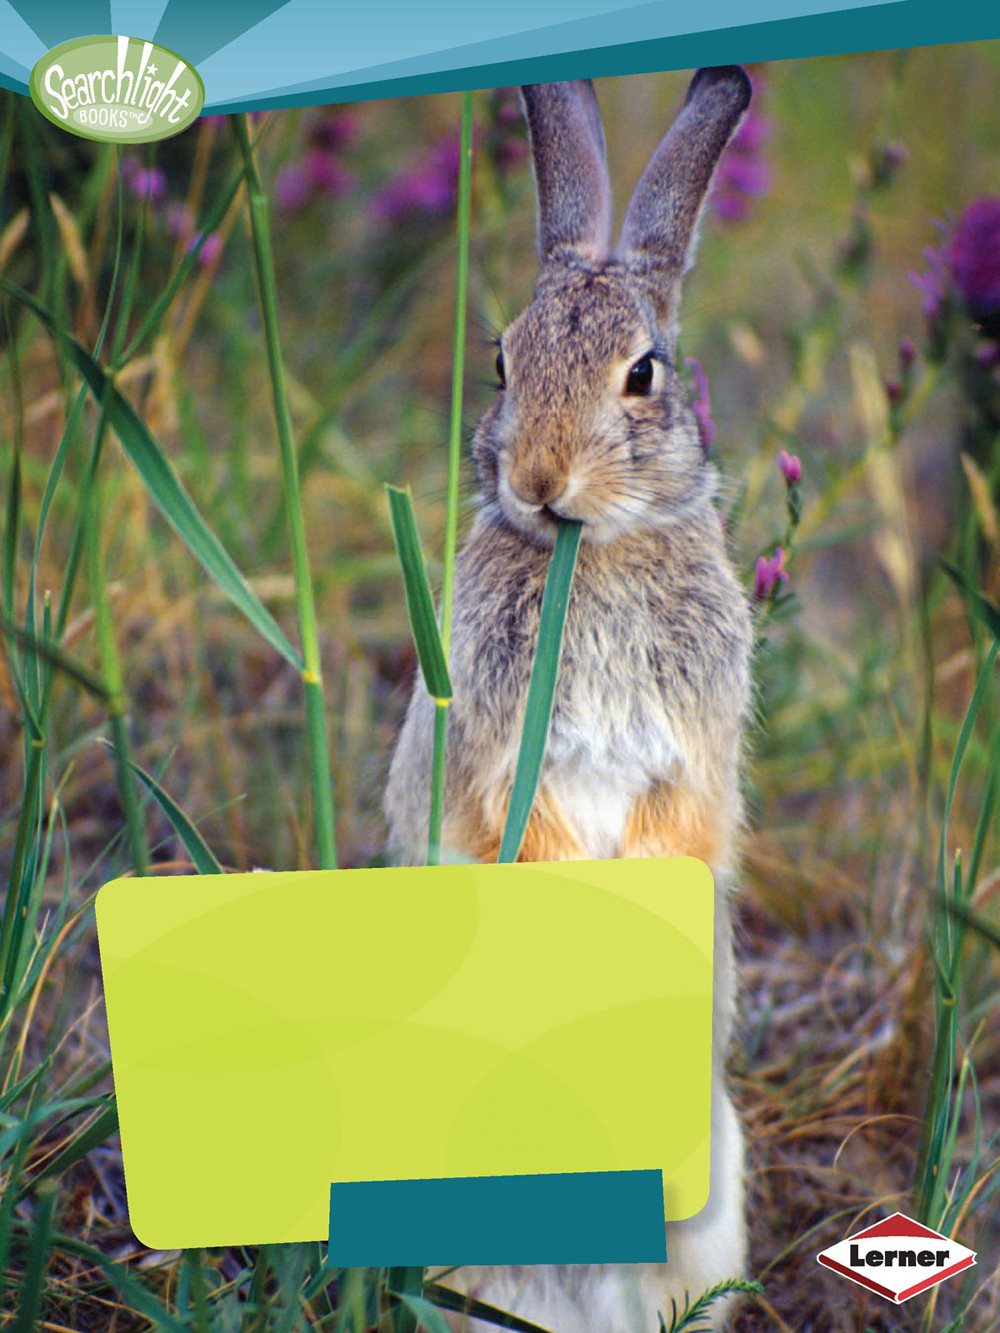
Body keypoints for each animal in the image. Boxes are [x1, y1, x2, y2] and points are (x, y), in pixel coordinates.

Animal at [386, 70, 757, 1333]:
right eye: (502, 361)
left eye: (643, 373)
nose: (539, 480)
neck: (586, 558)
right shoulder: (502, 753)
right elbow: (527, 836)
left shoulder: (688, 751)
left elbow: (674, 835)